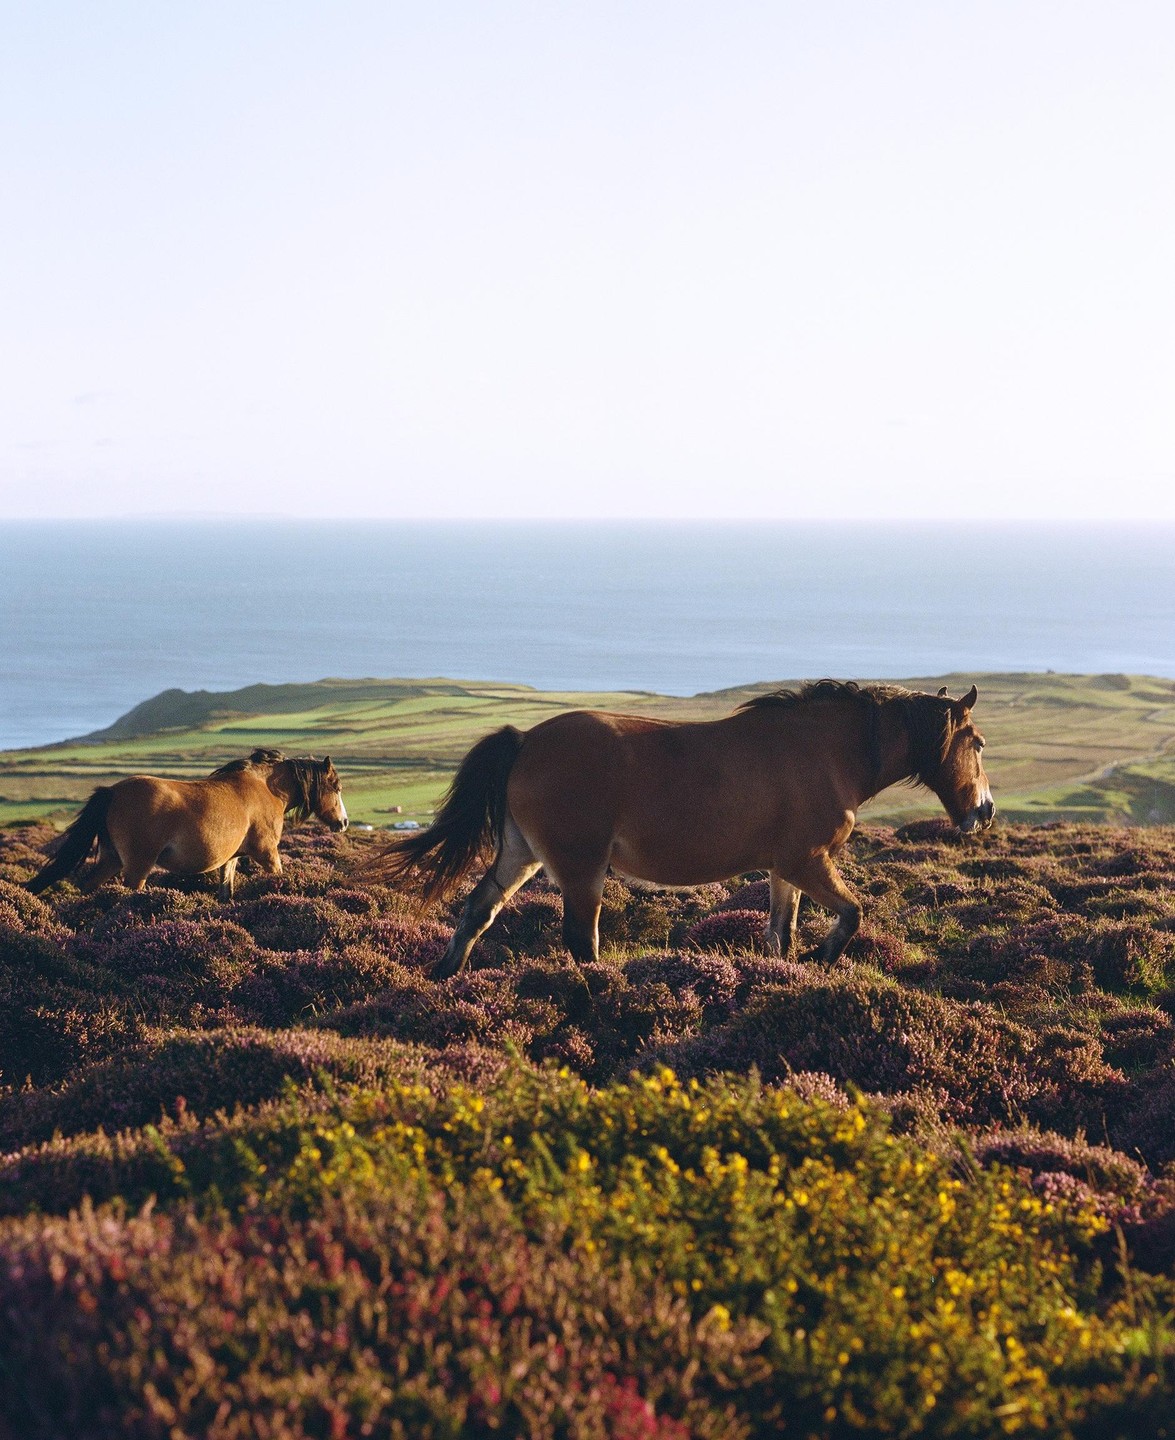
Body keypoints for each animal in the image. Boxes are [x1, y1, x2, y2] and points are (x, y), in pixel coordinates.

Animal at [26, 749, 348, 900]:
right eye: (337, 787)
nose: (343, 822)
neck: (266, 788)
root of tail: (113, 792)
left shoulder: (231, 858)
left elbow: (226, 891)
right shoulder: (267, 854)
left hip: (112, 859)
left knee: (87, 886)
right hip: (138, 866)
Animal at [367, 681, 993, 977]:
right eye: (980, 743)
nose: (984, 811)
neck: (828, 752)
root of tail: (523, 742)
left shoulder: (784, 868)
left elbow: (780, 934)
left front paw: (787, 972)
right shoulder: (808, 860)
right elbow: (852, 914)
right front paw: (823, 960)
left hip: (520, 855)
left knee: (479, 909)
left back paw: (444, 979)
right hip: (581, 867)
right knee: (580, 939)